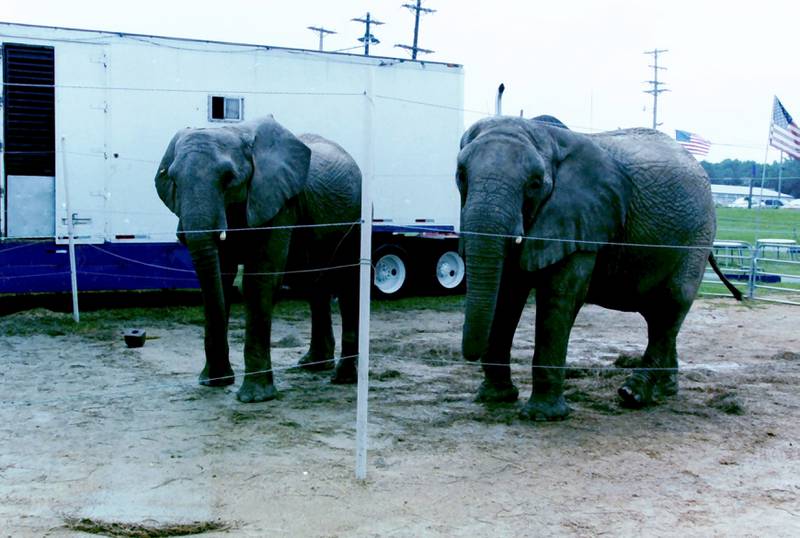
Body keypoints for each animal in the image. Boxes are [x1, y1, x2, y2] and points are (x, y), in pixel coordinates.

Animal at [155, 117, 360, 402]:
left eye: (229, 178)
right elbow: (222, 278)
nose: (221, 379)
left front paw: (254, 398)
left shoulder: (279, 202)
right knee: (313, 284)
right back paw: (313, 365)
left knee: (347, 283)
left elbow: (259, 280)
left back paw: (343, 378)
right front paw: (213, 382)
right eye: (172, 179)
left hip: (355, 217)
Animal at [456, 115, 744, 420]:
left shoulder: (581, 221)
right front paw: (496, 398)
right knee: (657, 314)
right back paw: (664, 392)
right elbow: (507, 293)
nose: (470, 355)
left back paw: (633, 394)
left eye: (534, 184)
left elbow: (560, 295)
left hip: (697, 236)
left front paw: (542, 416)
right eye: (460, 175)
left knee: (672, 301)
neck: (546, 135)